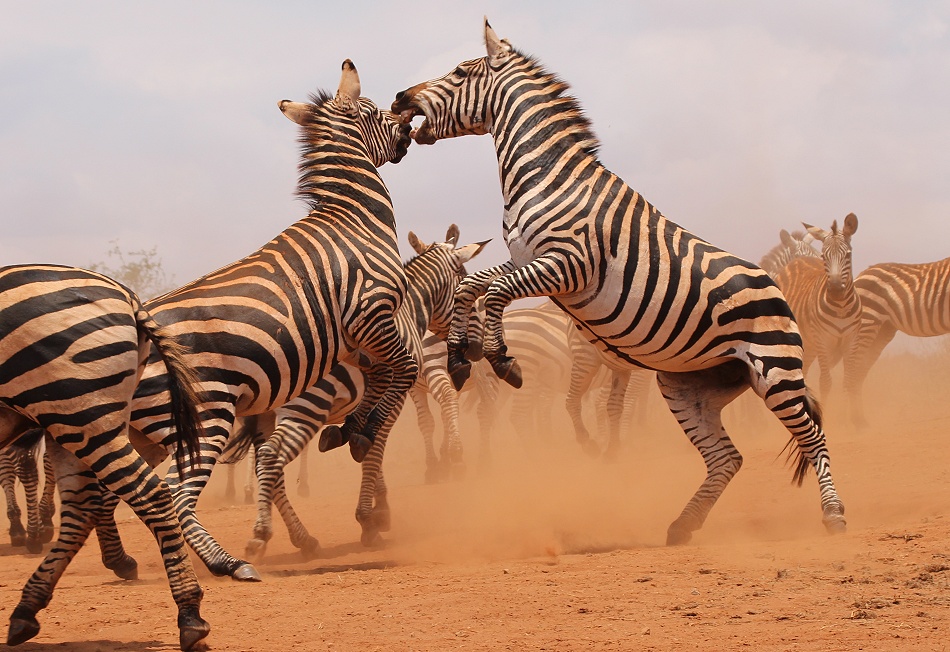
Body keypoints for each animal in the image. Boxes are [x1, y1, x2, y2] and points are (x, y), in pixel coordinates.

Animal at [0, 264, 209, 651]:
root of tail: (128, 296)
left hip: (78, 409)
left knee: (150, 495)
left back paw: (190, 616)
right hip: (70, 419)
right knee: (83, 504)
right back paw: (27, 608)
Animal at [218, 227, 486, 554]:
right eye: (468, 292)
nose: (475, 349)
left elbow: (365, 442)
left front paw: (380, 508)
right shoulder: (395, 395)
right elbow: (374, 447)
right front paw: (369, 519)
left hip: (266, 416)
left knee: (267, 466)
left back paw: (301, 537)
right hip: (306, 407)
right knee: (270, 457)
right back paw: (263, 533)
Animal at [391, 19, 847, 543]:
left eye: (461, 72)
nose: (400, 96)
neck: (549, 176)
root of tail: (775, 286)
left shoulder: (568, 265)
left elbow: (493, 291)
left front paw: (500, 358)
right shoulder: (531, 261)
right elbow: (477, 285)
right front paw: (464, 354)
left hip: (775, 370)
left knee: (812, 434)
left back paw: (833, 514)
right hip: (690, 384)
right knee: (727, 458)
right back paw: (683, 524)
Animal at [774, 214, 861, 400]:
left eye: (848, 255)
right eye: (823, 255)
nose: (835, 289)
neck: (841, 307)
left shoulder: (851, 340)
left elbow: (850, 382)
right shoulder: (822, 340)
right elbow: (825, 382)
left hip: (809, 345)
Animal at [844, 255, 950, 425]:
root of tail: (862, 273)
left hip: (883, 330)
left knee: (859, 369)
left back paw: (855, 419)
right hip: (868, 321)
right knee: (851, 369)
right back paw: (852, 421)